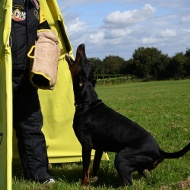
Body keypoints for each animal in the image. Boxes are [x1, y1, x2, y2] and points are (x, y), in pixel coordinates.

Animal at [65, 43, 189, 186]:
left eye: (84, 62)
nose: (82, 45)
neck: (88, 103)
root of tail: (159, 151)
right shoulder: (99, 148)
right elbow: (95, 166)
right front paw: (94, 180)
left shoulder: (86, 145)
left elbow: (86, 169)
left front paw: (84, 184)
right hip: (136, 165)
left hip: (121, 158)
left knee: (128, 182)